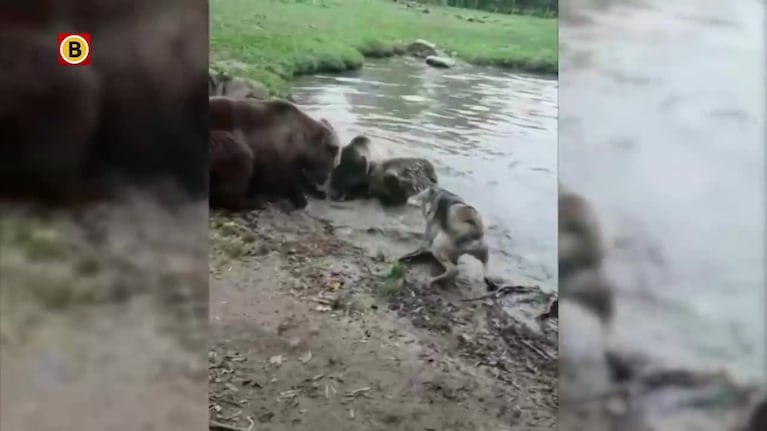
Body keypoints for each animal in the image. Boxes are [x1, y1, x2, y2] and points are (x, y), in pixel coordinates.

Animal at [210, 98, 342, 213]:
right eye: (332, 161)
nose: (323, 180)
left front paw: (316, 192)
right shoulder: (277, 155)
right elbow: (287, 180)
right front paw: (301, 200)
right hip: (222, 141)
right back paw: (255, 202)